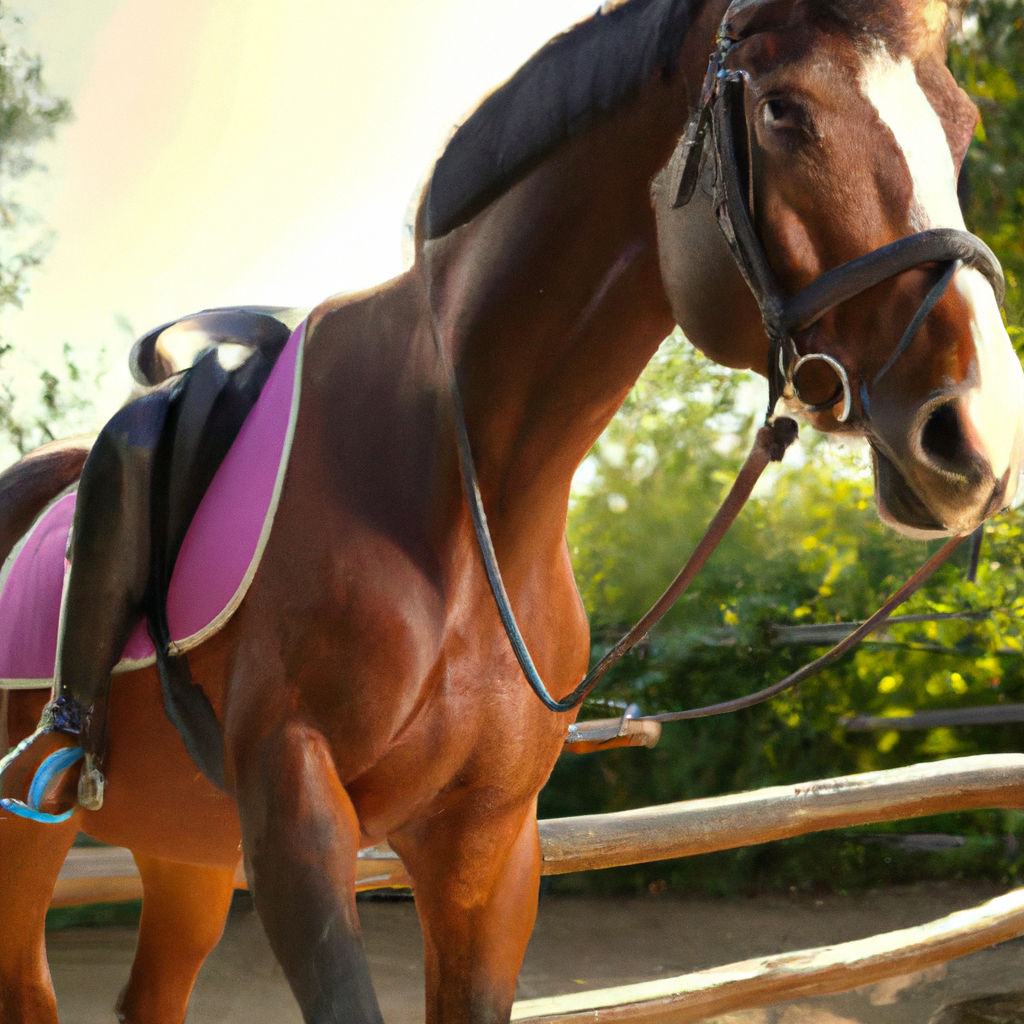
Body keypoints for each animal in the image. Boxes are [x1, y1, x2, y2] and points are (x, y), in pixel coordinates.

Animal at [2, 0, 1024, 1019]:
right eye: (782, 112)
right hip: (39, 840)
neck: (464, 496)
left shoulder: (486, 848)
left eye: (963, 125)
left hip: (188, 850)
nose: (977, 435)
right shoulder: (294, 812)